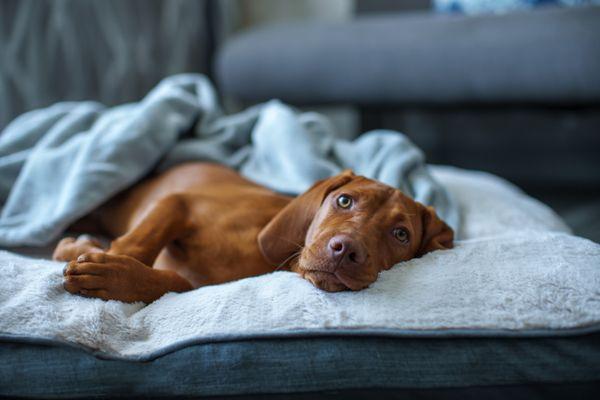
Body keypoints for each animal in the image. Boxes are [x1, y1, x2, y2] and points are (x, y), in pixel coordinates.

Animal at [54, 162, 452, 304]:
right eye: (343, 200)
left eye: (400, 235)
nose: (345, 250)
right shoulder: (178, 202)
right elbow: (137, 242)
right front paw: (108, 261)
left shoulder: (199, 284)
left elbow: (174, 282)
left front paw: (113, 276)